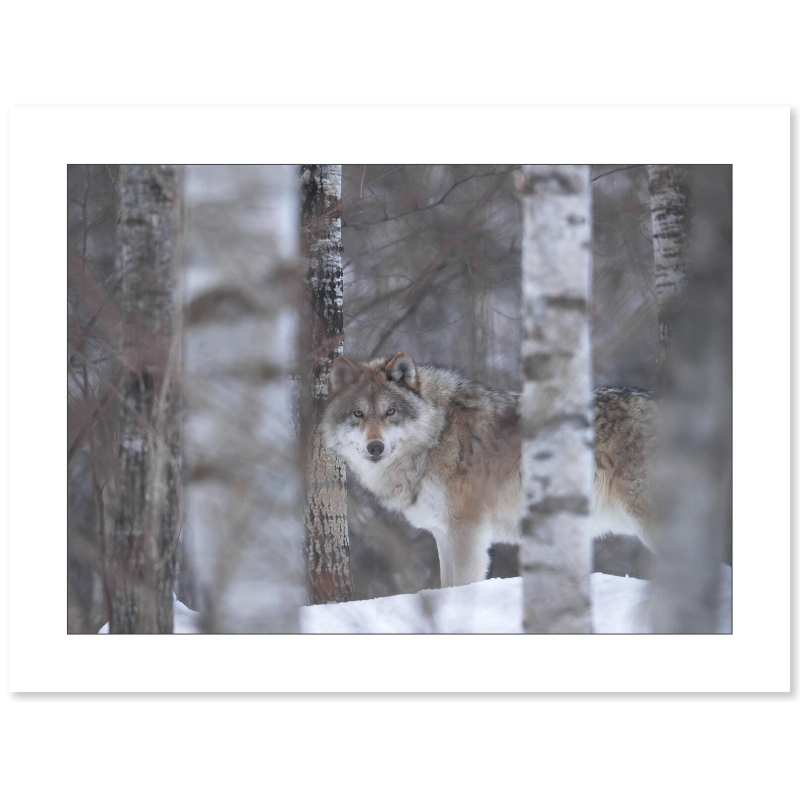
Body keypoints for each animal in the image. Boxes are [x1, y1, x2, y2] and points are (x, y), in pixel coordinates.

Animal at [321, 351, 655, 587]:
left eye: (390, 412)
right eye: (358, 414)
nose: (374, 447)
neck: (437, 435)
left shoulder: (466, 529)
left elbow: (461, 586)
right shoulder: (442, 533)